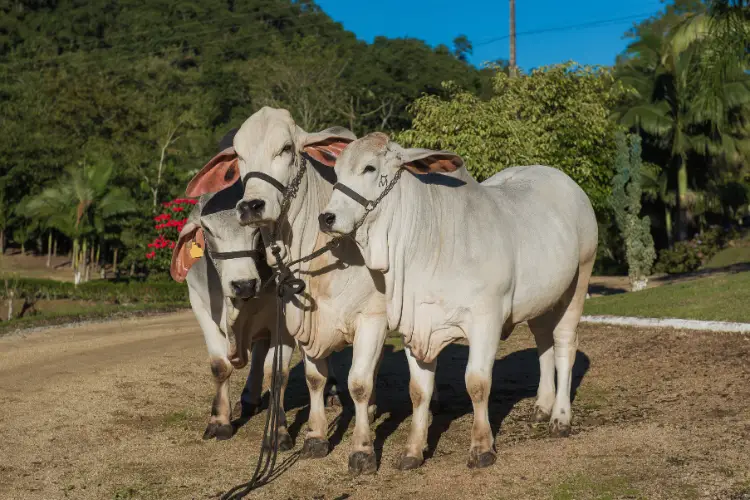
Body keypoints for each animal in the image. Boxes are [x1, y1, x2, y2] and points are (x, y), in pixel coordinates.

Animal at [318, 132, 600, 468]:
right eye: (335, 172)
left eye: (370, 168)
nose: (326, 217)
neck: (426, 244)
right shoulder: (414, 323)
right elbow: (419, 390)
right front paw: (413, 451)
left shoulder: (485, 320)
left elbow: (477, 383)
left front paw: (481, 447)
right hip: (541, 299)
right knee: (544, 340)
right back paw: (542, 406)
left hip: (579, 279)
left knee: (565, 344)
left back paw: (560, 417)